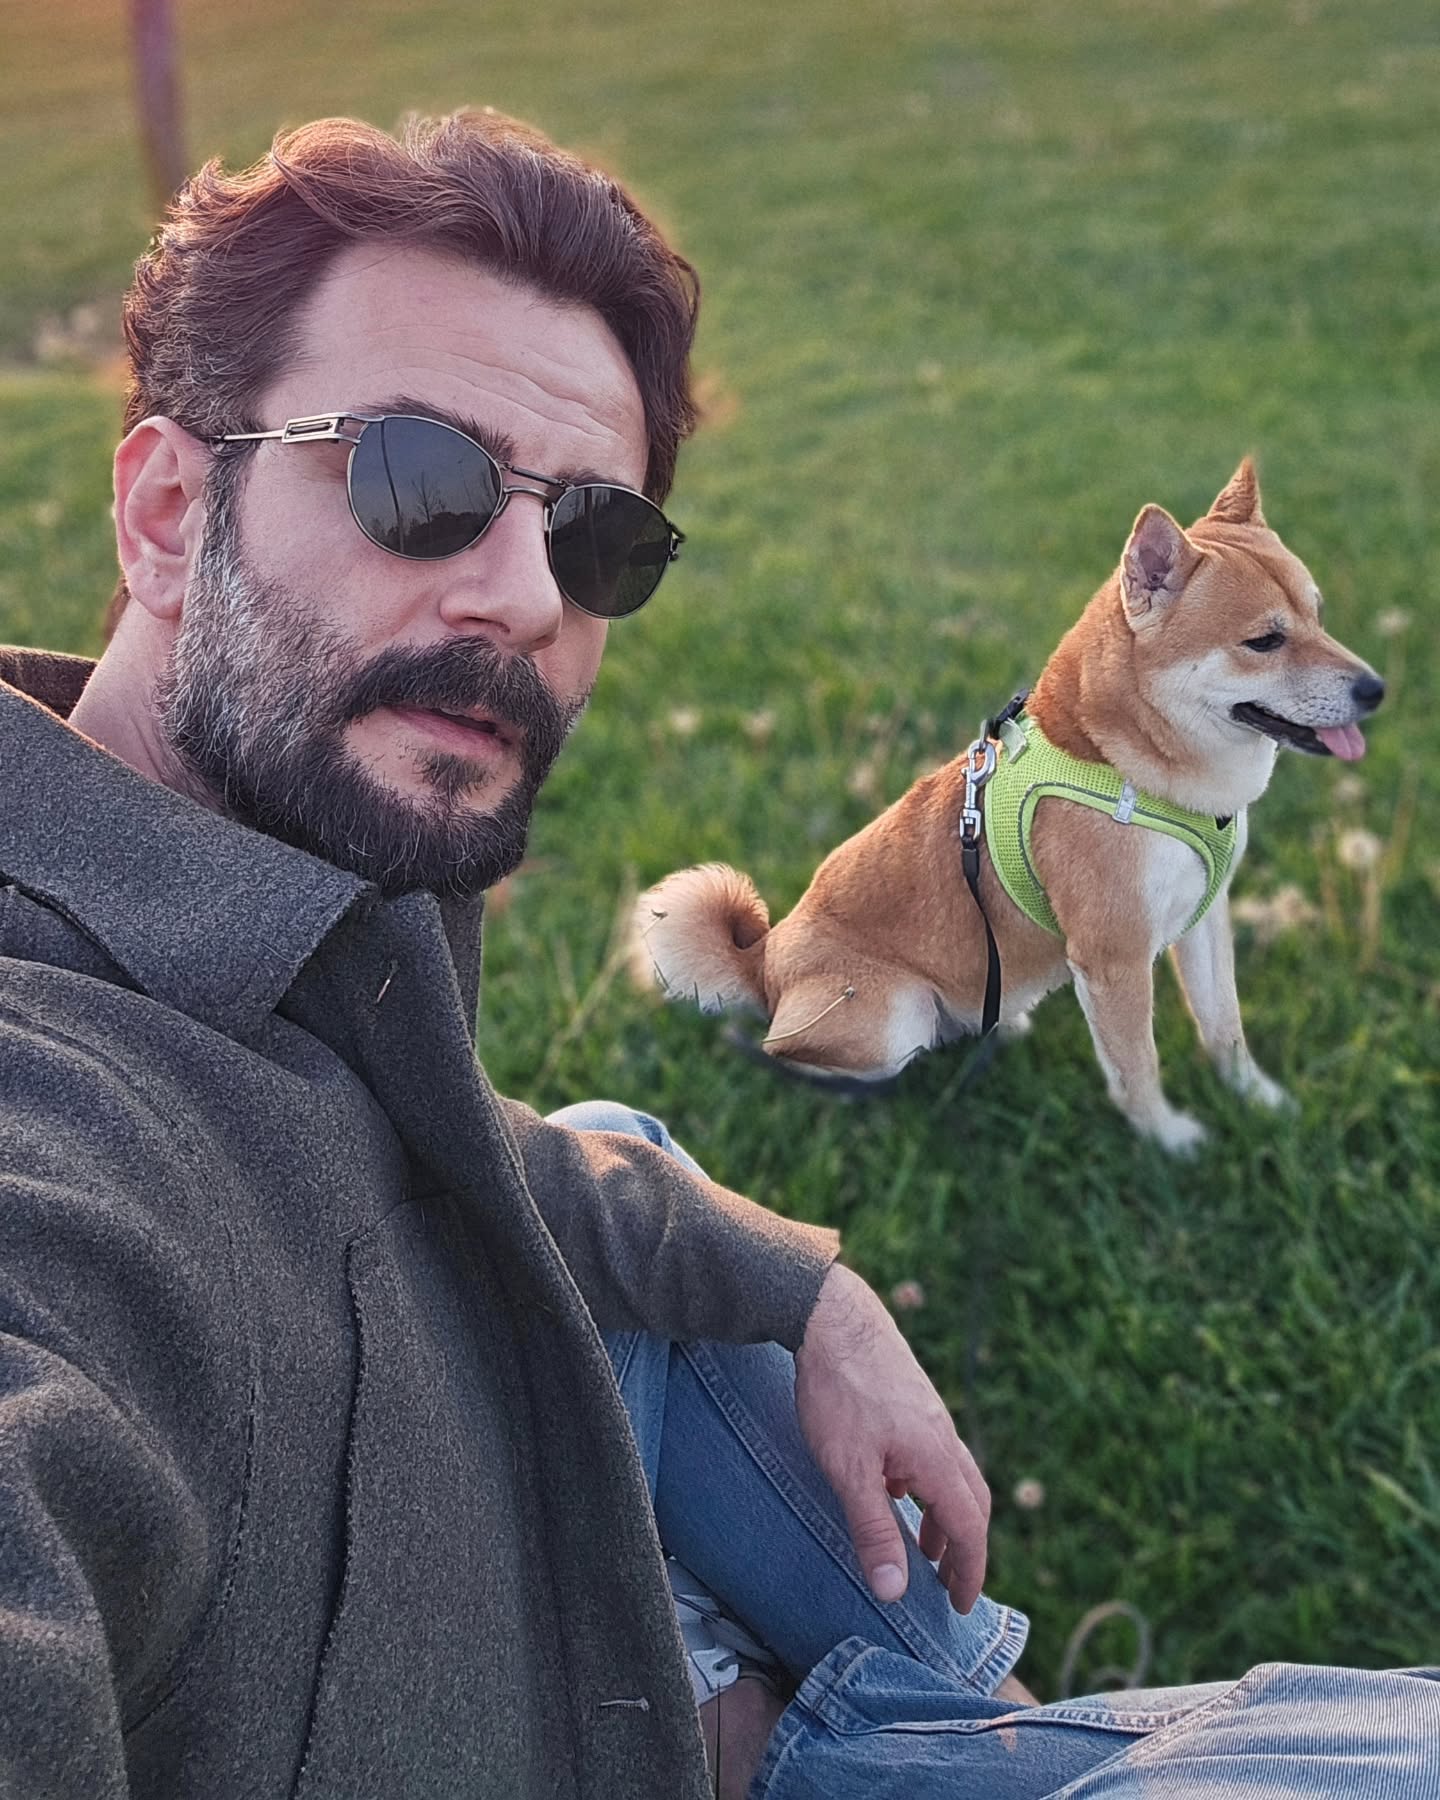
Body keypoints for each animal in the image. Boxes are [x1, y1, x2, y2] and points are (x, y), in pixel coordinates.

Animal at [632, 461, 1384, 1153]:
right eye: (1265, 641)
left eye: (1318, 615)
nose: (1375, 689)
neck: (1125, 767)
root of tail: (763, 959)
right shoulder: (1115, 957)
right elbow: (1137, 1065)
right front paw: (1167, 1140)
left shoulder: (1204, 919)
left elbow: (1224, 1027)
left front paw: (1259, 1101)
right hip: (891, 1008)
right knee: (787, 1052)